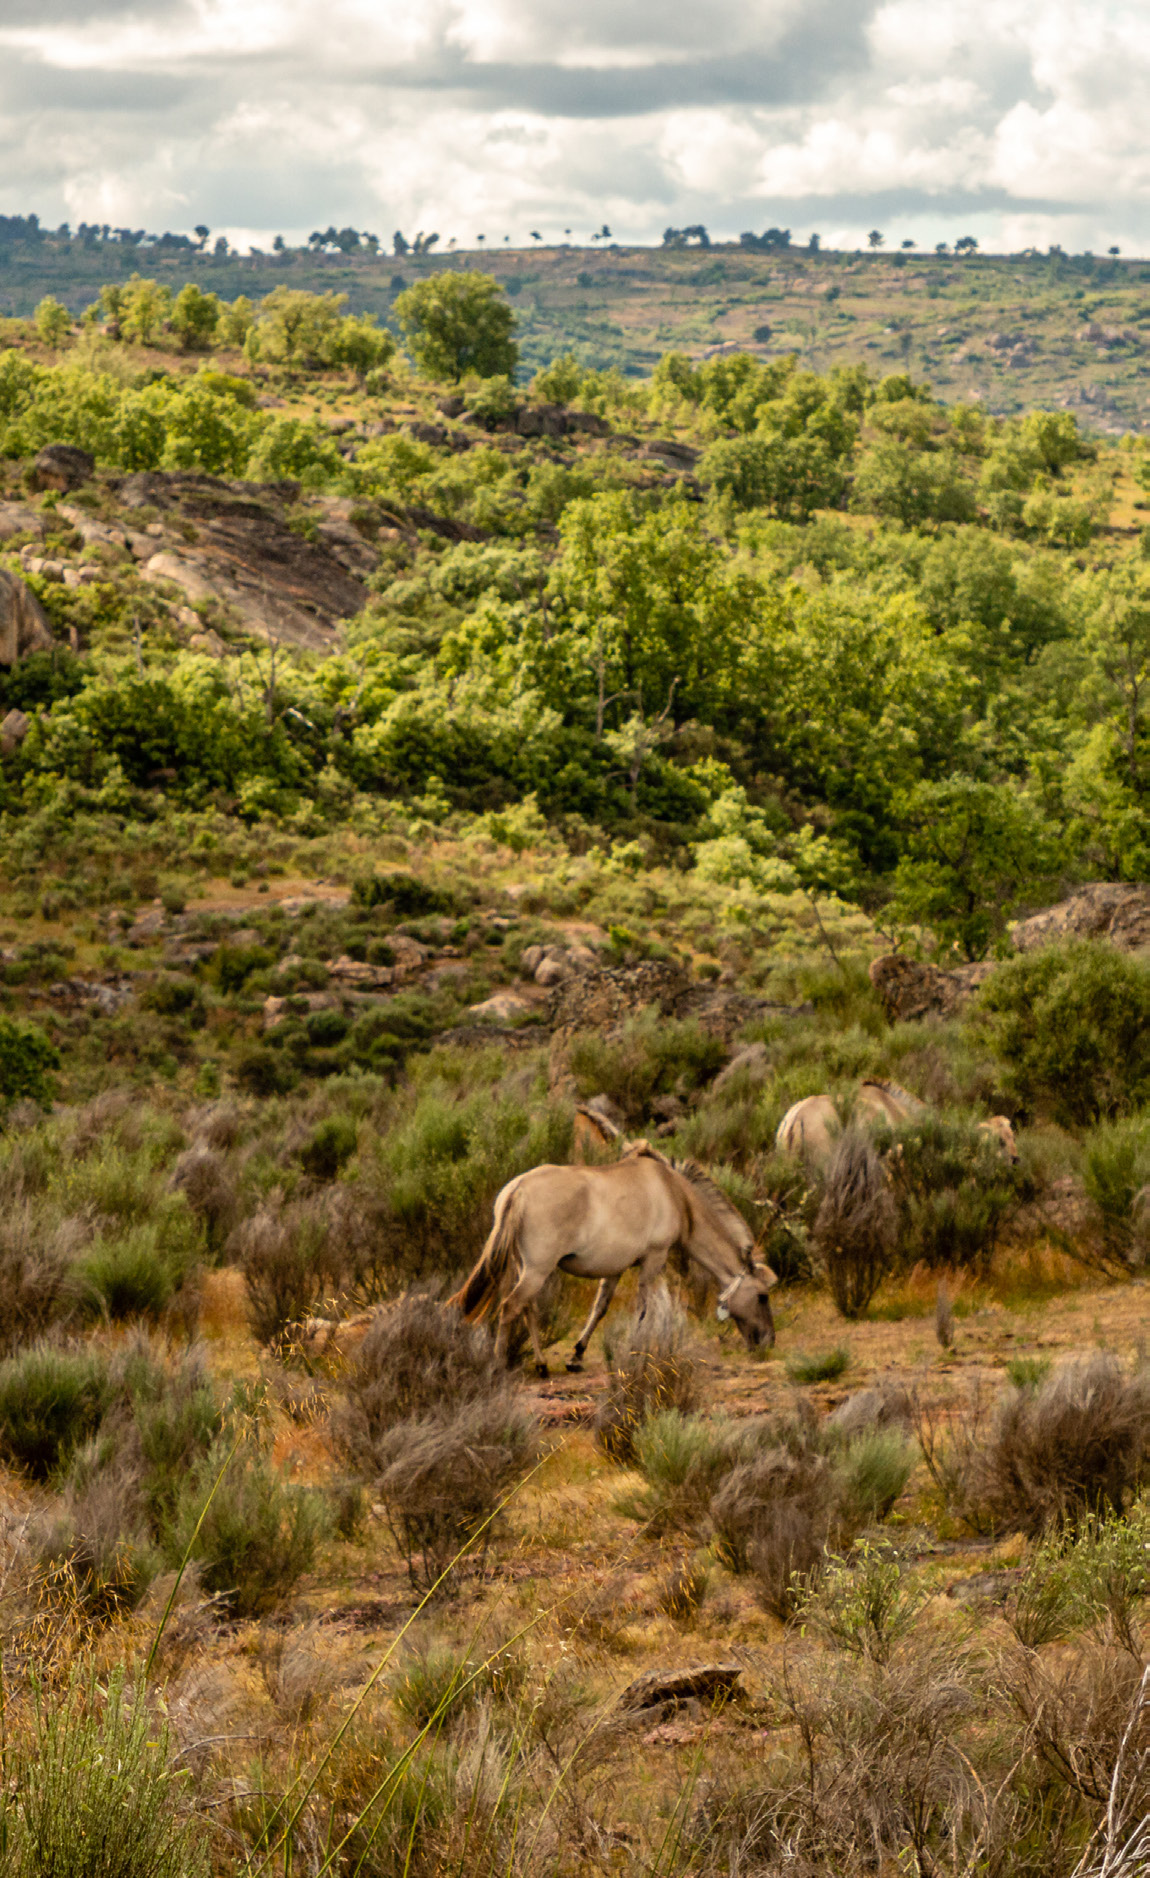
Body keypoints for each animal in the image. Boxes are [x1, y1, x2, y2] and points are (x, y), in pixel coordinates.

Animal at [448, 1142, 777, 1376]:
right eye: (762, 1296)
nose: (767, 1342)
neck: (675, 1194)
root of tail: (518, 1189)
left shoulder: (615, 1268)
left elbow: (600, 1308)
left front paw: (577, 1356)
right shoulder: (653, 1259)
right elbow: (643, 1309)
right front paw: (635, 1351)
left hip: (525, 1268)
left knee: (526, 1309)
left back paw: (541, 1364)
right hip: (537, 1271)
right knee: (509, 1307)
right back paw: (498, 1365)